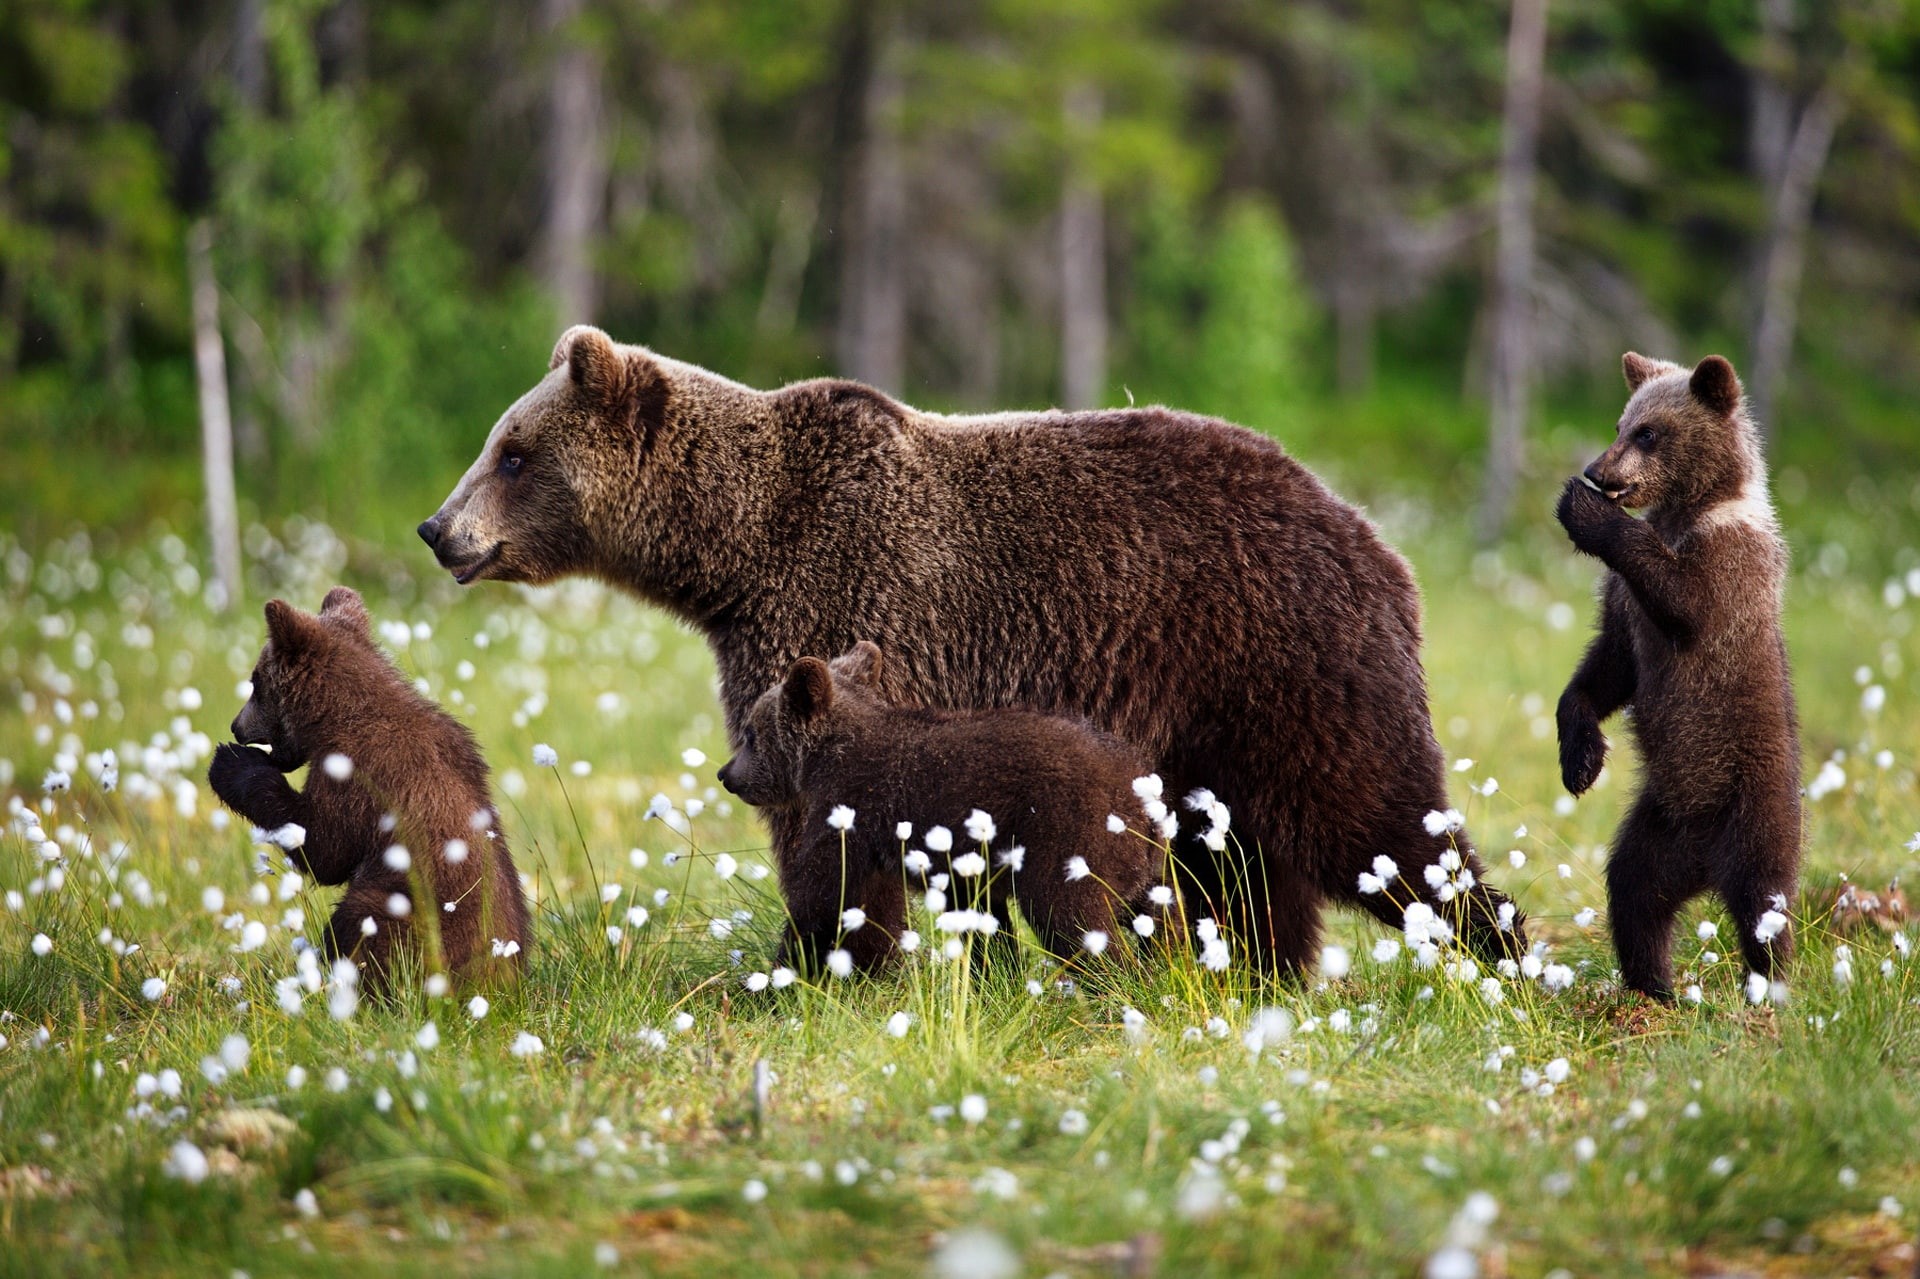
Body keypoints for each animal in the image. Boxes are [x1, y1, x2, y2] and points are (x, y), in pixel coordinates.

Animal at [207, 587, 532, 989]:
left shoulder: (357, 776)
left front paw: (230, 763)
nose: (236, 727)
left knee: (358, 919)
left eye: (255, 682)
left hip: (415, 915)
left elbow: (323, 846)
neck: (336, 718)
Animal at [715, 641, 1170, 967]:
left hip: (1067, 840)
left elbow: (822, 898)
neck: (828, 760)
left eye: (751, 735)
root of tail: (1141, 791)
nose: (725, 773)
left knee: (1074, 921)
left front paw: (782, 975)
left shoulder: (850, 813)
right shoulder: (946, 863)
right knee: (1164, 914)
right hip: (1144, 864)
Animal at [1554, 352, 1801, 1002]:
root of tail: (1706, 866)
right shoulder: (1624, 607)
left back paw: (1767, 988)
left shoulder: (1728, 564)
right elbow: (1610, 666)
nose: (1596, 470)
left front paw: (1585, 511)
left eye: (1649, 433)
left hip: (1755, 804)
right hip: (1660, 826)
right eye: (1621, 423)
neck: (1691, 508)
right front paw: (1581, 757)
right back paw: (1652, 987)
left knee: (1763, 905)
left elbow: (1684, 601)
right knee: (1635, 892)